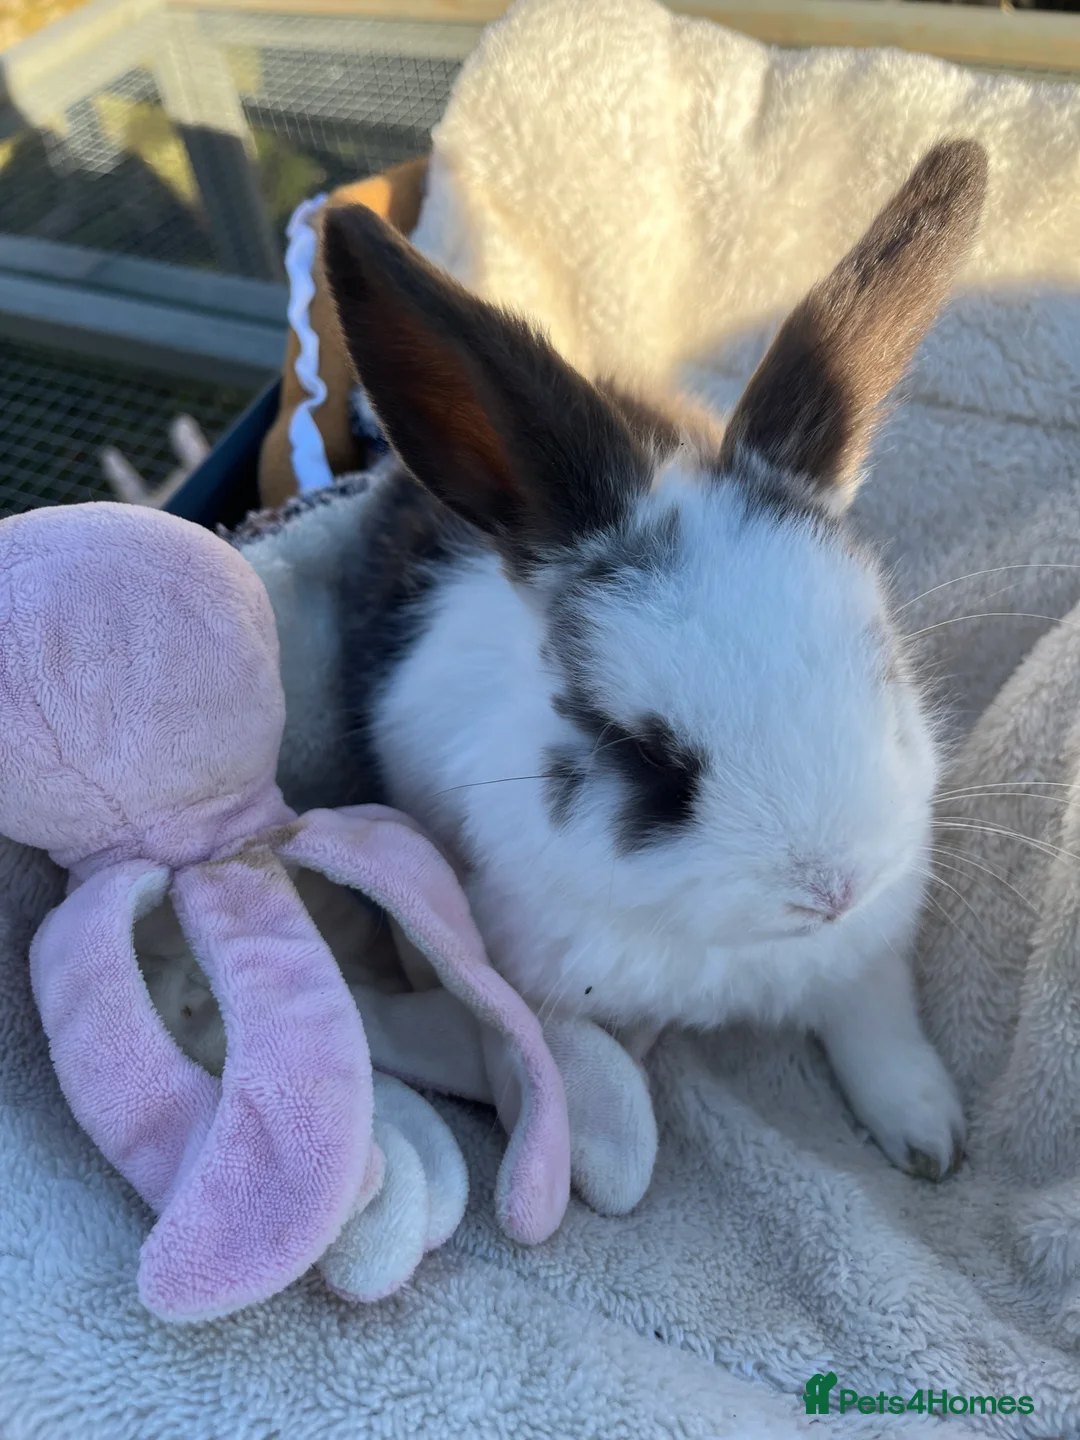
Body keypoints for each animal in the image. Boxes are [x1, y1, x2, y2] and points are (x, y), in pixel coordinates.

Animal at [322, 139, 988, 1182]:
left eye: (882, 672)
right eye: (646, 758)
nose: (829, 891)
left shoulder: (869, 955)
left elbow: (876, 1027)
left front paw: (927, 1139)